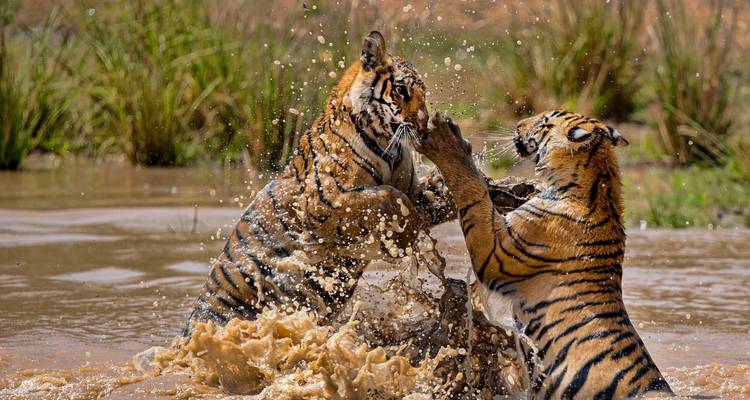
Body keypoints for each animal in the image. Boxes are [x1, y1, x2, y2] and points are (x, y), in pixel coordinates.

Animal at [184, 31, 455, 332]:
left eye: (423, 94)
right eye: (401, 91)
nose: (423, 126)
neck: (389, 147)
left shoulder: (411, 189)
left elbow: (421, 198)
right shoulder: (322, 203)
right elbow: (388, 197)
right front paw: (404, 238)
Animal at [414, 110, 673, 399]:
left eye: (545, 122)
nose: (518, 125)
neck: (596, 186)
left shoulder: (496, 253)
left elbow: (473, 189)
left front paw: (446, 140)